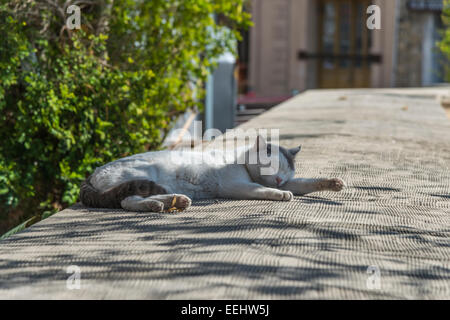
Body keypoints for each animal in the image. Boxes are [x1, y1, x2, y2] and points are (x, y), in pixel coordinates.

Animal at [79, 136, 344, 212]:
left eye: (287, 171)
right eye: (273, 168)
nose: (280, 179)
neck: (240, 160)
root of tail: (91, 174)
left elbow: (305, 183)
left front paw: (332, 183)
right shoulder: (235, 186)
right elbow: (261, 189)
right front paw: (279, 193)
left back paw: (175, 201)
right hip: (140, 177)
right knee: (126, 200)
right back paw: (156, 205)